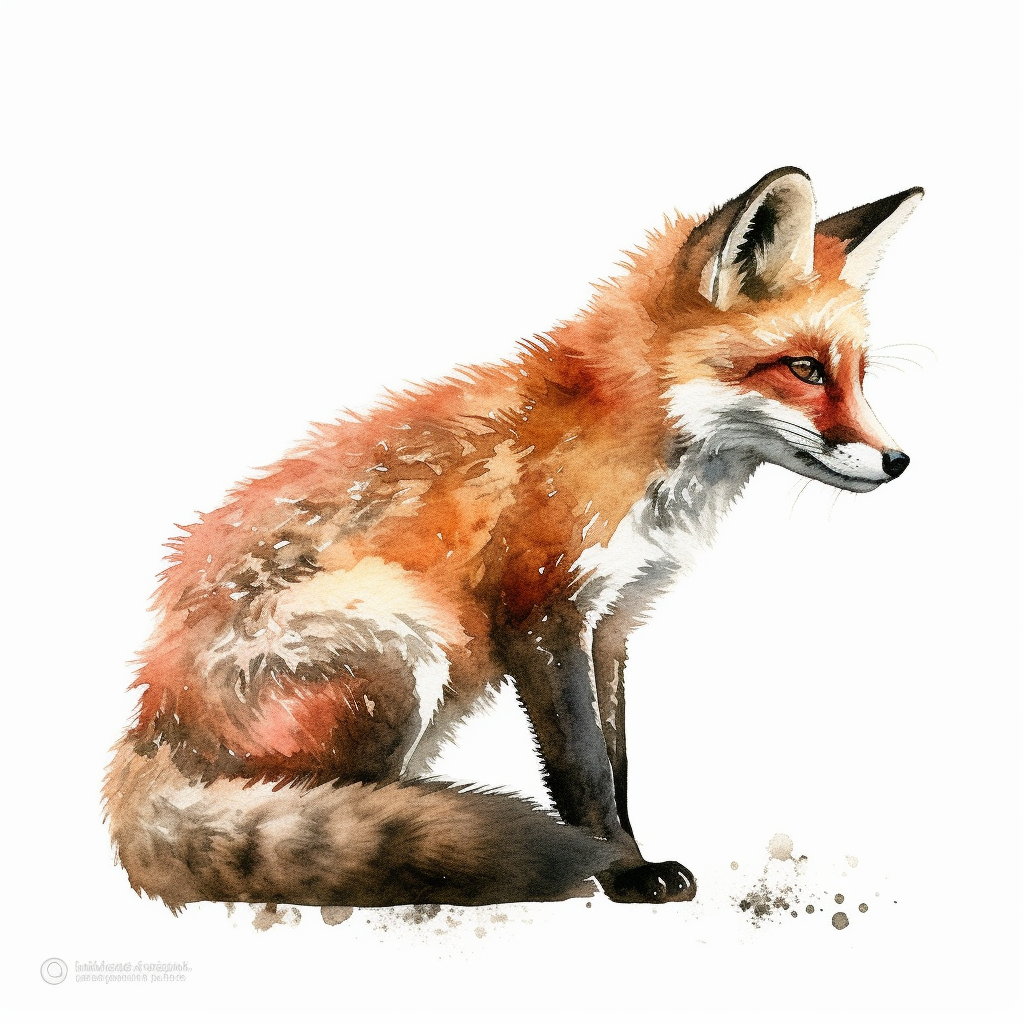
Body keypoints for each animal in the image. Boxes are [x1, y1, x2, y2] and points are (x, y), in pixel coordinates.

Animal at [104, 168, 922, 911]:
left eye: (858, 376)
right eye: (804, 369)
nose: (898, 461)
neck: (630, 444)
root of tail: (149, 717)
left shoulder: (613, 624)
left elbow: (620, 762)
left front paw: (625, 856)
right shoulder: (542, 611)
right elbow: (585, 768)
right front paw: (622, 871)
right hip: (407, 642)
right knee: (318, 812)